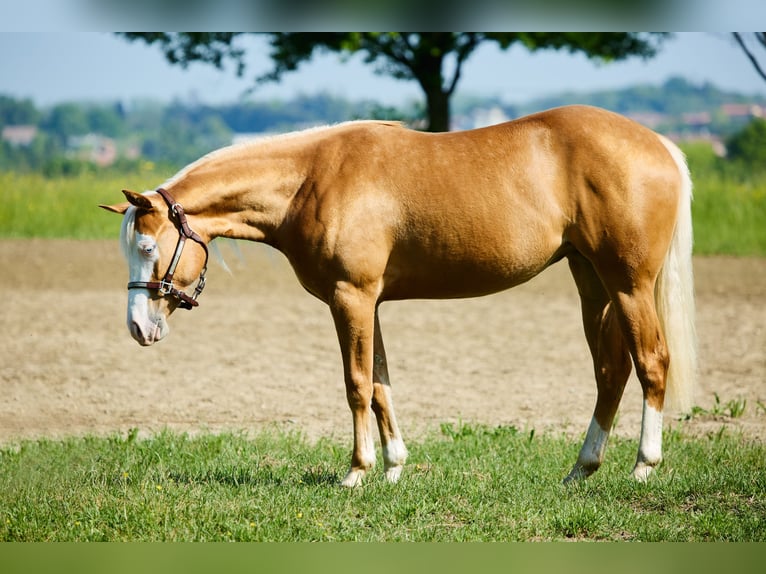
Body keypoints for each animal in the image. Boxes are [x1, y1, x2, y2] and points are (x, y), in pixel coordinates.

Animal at [101, 105, 696, 487]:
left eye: (149, 248)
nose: (137, 327)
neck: (310, 180)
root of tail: (661, 145)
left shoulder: (351, 298)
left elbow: (357, 384)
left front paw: (357, 472)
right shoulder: (372, 304)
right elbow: (382, 385)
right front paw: (392, 468)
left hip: (628, 285)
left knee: (651, 363)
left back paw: (644, 465)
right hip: (591, 280)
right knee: (611, 371)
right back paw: (581, 469)